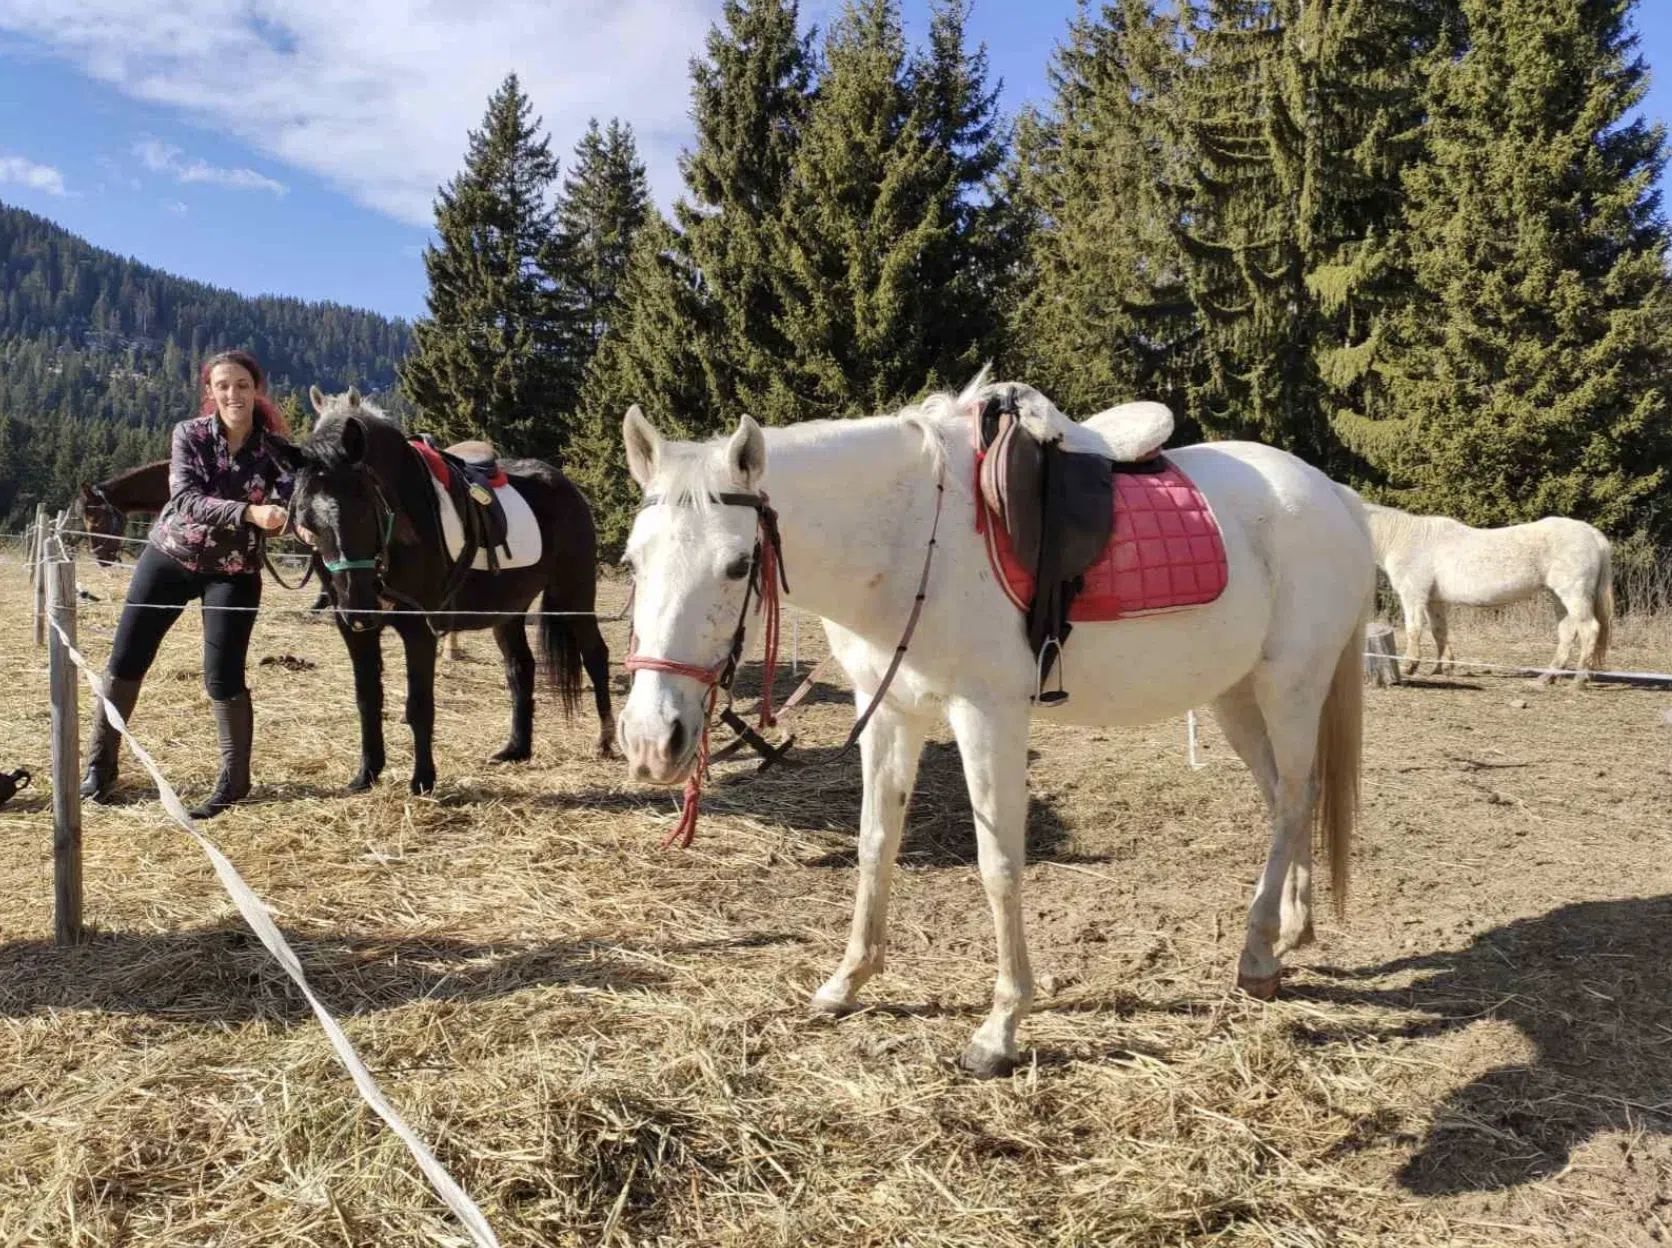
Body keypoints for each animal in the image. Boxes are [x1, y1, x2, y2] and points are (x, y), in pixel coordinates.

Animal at [275, 387, 614, 793]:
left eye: (364, 511)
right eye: (307, 519)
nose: (359, 605)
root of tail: (566, 485)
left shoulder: (419, 629)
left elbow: (419, 704)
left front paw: (423, 780)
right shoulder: (353, 631)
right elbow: (367, 698)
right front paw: (367, 773)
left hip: (573, 595)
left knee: (595, 655)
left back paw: (606, 741)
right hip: (508, 611)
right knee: (521, 667)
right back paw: (516, 749)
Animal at [614, 376, 1374, 1076]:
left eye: (737, 565)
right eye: (631, 560)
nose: (652, 741)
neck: (908, 538)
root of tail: (1333, 493)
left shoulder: (987, 717)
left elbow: (1000, 865)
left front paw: (1000, 1027)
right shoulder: (890, 712)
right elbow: (875, 843)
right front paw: (848, 982)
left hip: (1291, 687)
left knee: (1293, 799)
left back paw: (1257, 955)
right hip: (1236, 697)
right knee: (1288, 799)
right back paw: (1290, 933)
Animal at [1363, 503, 1614, 684]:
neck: (1402, 539)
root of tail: (1593, 534)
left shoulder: (1413, 595)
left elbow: (1414, 629)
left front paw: (1410, 665)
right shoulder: (1434, 600)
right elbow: (1439, 632)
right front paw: (1443, 667)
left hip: (1574, 594)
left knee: (1589, 629)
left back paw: (1579, 679)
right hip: (1559, 596)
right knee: (1567, 632)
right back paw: (1548, 677)